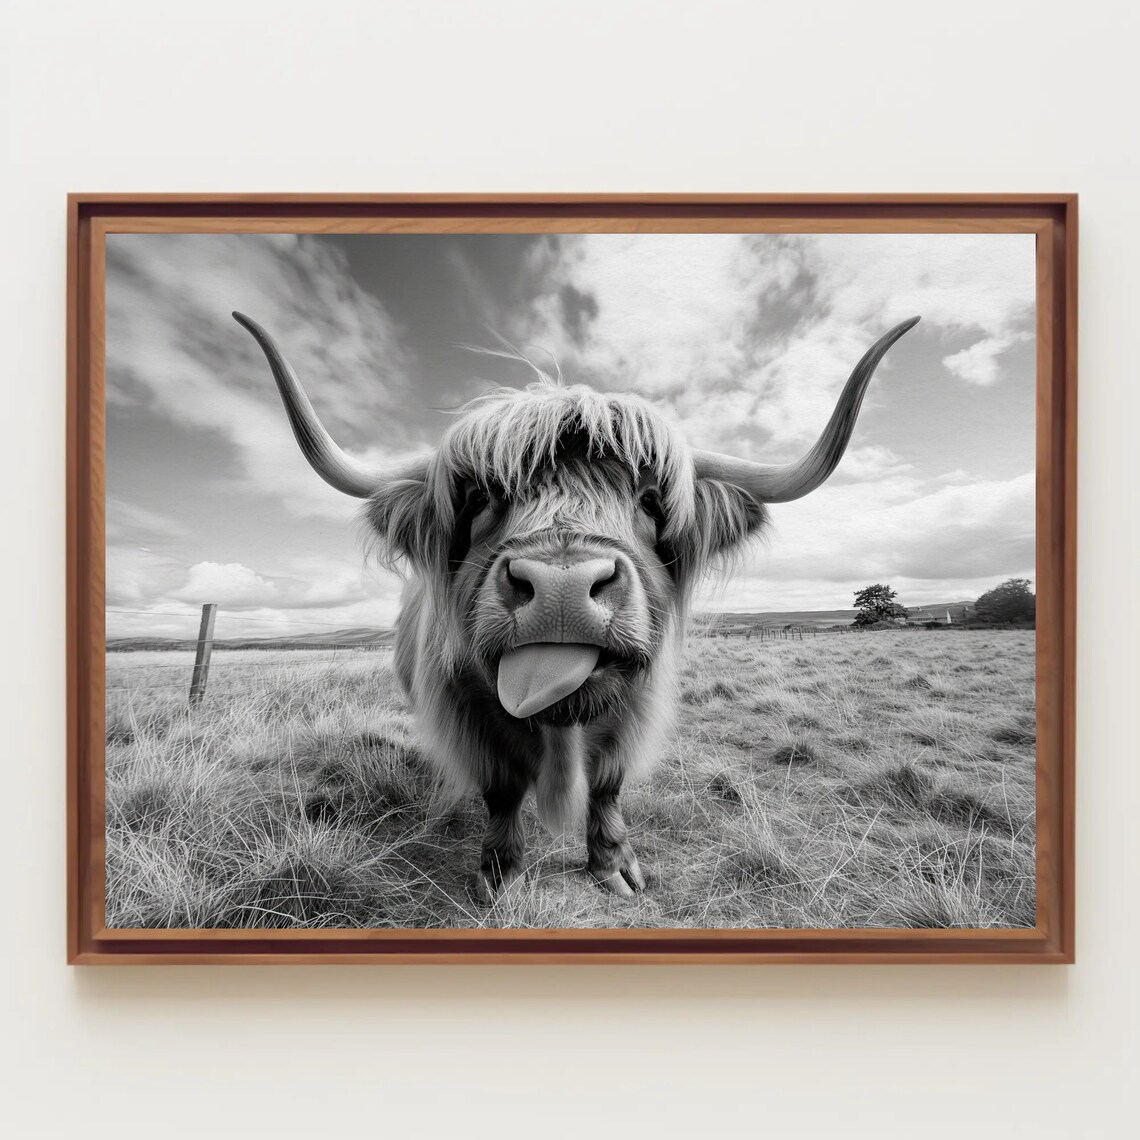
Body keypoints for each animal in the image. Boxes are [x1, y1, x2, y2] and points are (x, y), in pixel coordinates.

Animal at [234, 311, 919, 900]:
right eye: (481, 496)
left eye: (649, 500)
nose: (562, 588)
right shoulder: (467, 717)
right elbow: (501, 791)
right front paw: (498, 873)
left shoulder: (636, 710)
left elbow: (609, 788)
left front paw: (613, 868)